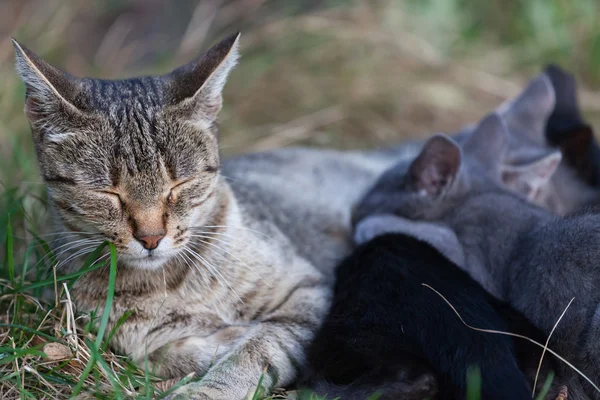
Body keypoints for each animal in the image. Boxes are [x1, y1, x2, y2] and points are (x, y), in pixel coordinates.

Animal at [14, 35, 330, 400]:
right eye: (108, 192)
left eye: (179, 184)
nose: (151, 238)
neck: (174, 281)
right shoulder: (138, 338)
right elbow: (177, 351)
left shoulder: (308, 290)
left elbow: (260, 347)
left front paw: (210, 388)